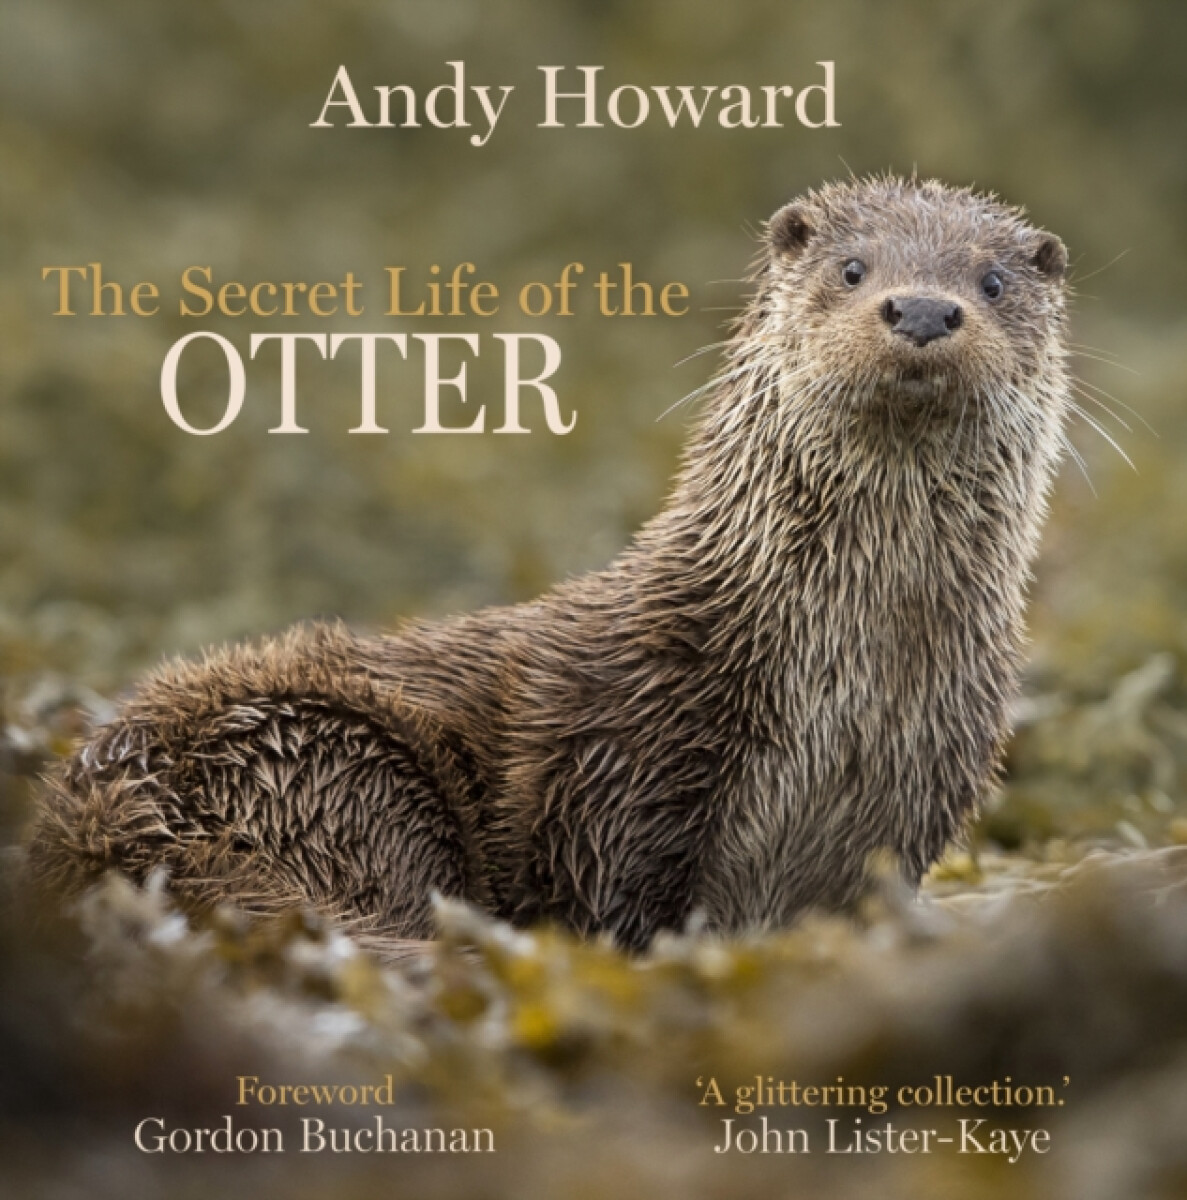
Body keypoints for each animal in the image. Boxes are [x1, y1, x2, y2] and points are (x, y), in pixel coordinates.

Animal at [27, 177, 1071, 951]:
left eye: (992, 282)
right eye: (851, 269)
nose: (923, 309)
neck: (850, 689)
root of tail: (97, 812)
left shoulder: (917, 791)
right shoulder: (615, 773)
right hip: (333, 762)